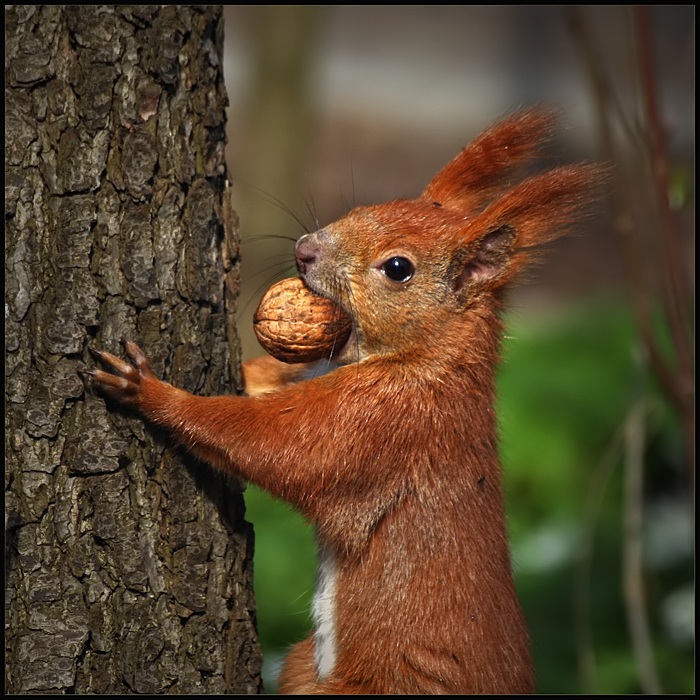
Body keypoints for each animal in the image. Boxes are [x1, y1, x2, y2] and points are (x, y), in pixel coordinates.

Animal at [89, 110, 600, 696]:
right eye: (363, 208)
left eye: (398, 268)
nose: (305, 248)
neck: (429, 363)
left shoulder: (381, 422)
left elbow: (276, 446)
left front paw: (149, 390)